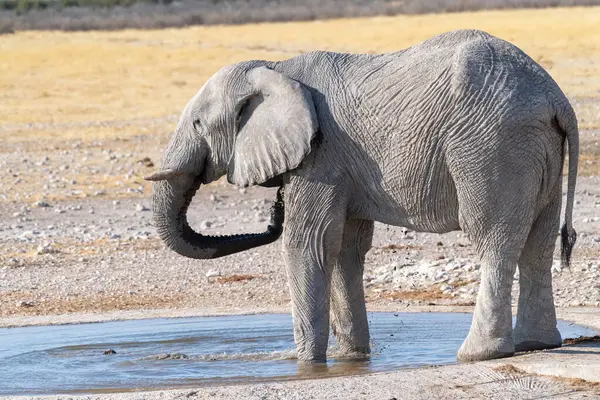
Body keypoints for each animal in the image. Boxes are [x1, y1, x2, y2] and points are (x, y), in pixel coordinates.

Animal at [144, 29, 576, 364]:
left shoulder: (321, 157)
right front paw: (350, 358)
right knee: (537, 245)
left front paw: (306, 363)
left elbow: (308, 243)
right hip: (534, 149)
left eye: (197, 123)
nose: (275, 210)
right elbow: (344, 248)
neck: (276, 68)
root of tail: (556, 98)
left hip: (491, 147)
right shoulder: (342, 165)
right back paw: (536, 344)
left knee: (492, 239)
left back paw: (478, 354)